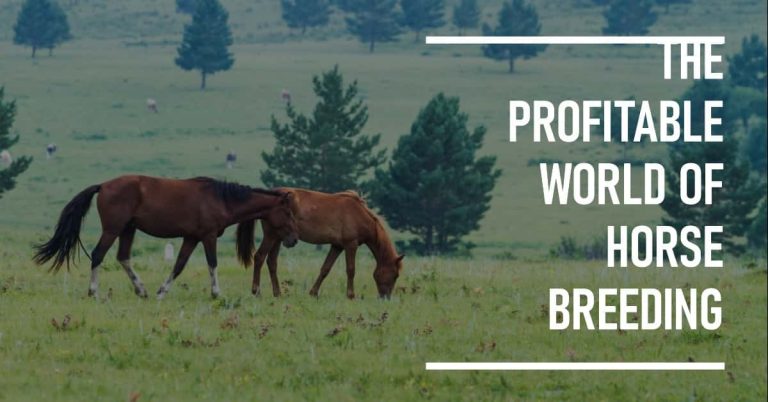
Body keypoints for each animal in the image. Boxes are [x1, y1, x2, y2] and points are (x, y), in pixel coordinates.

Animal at [33, 175, 299, 300]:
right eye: (288, 212)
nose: (294, 239)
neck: (221, 199)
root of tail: (103, 185)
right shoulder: (208, 236)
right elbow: (212, 264)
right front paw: (216, 293)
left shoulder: (191, 238)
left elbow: (179, 265)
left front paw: (161, 291)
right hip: (113, 229)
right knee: (98, 255)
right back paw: (94, 291)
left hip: (128, 229)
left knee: (123, 257)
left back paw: (141, 290)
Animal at [246, 188, 403, 299]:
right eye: (395, 275)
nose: (385, 298)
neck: (360, 214)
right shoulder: (350, 245)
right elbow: (351, 269)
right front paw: (351, 295)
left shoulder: (337, 246)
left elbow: (325, 269)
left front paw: (313, 293)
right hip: (271, 236)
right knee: (259, 257)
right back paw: (256, 291)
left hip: (278, 239)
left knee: (272, 262)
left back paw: (277, 293)